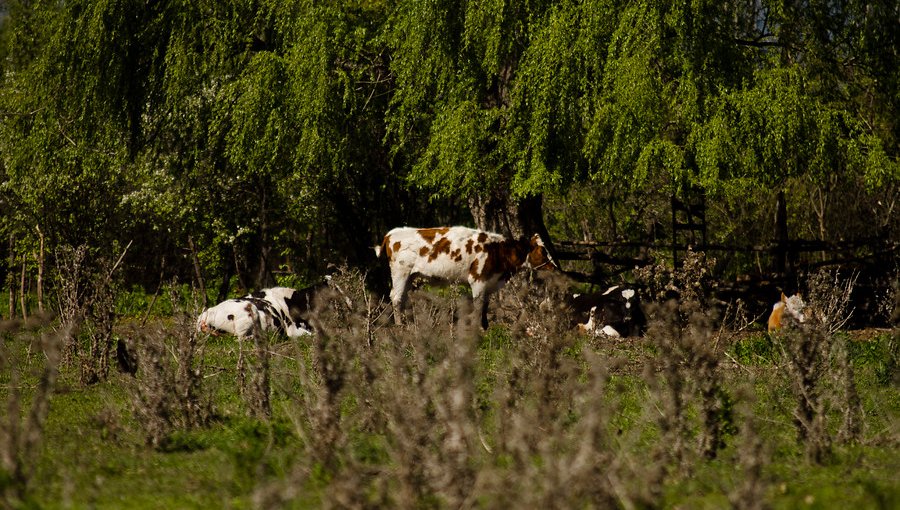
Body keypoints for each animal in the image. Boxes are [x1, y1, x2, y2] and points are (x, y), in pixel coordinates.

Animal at [374, 225, 556, 328]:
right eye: (542, 251)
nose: (554, 267)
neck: (496, 250)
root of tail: (391, 234)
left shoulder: (489, 283)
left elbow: (485, 306)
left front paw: (485, 327)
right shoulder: (478, 280)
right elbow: (478, 305)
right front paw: (477, 329)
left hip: (409, 276)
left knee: (402, 297)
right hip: (400, 272)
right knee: (396, 297)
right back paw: (400, 326)